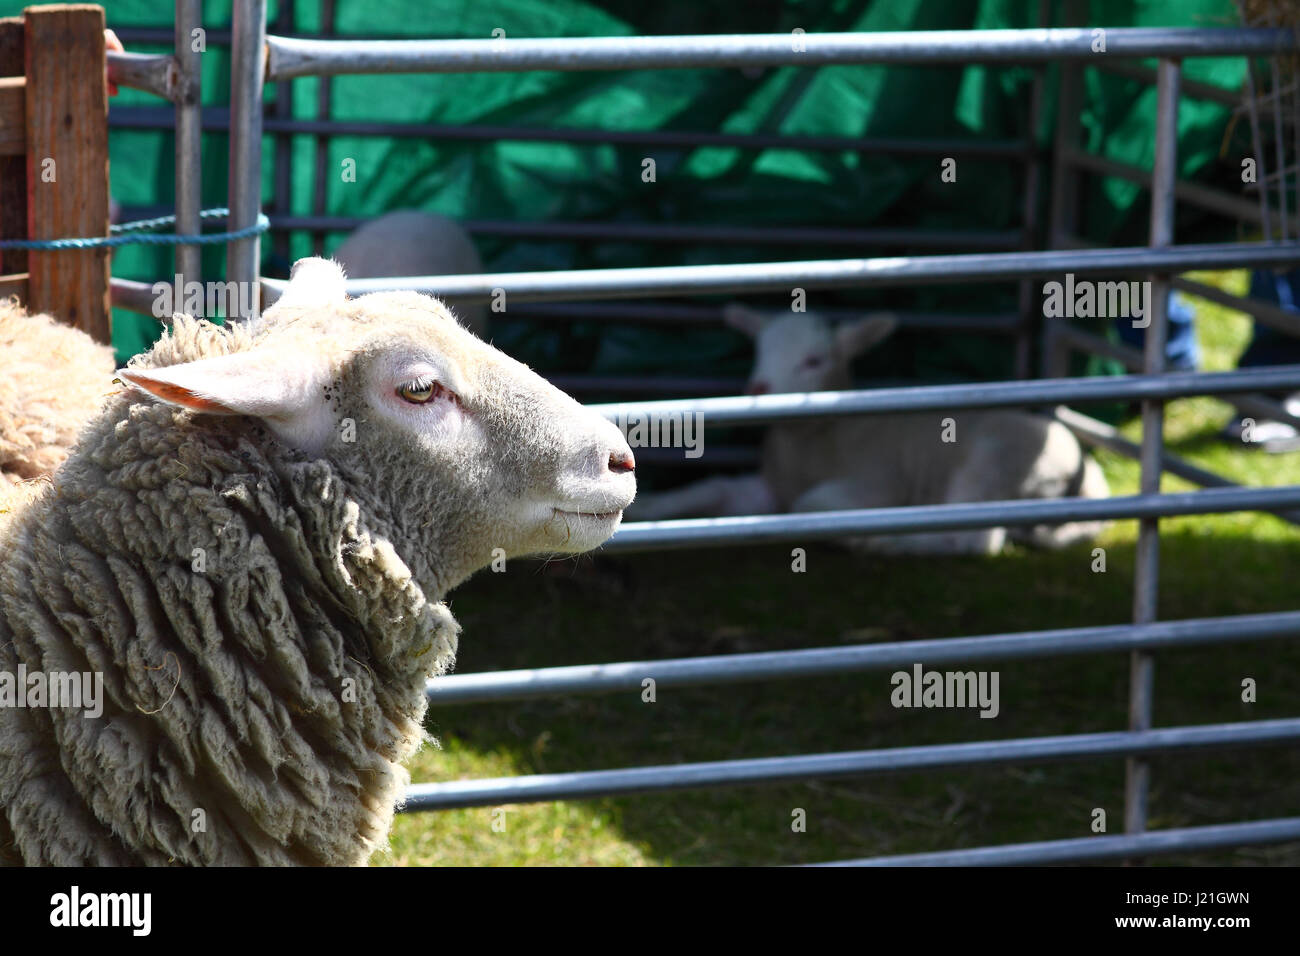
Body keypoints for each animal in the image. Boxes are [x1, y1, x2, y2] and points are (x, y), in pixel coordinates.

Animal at [629, 306, 1107, 554]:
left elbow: (808, 505)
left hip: (994, 465)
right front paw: (643, 509)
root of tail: (1082, 464)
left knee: (974, 538)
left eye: (815, 360)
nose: (758, 387)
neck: (820, 440)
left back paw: (883, 540)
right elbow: (710, 488)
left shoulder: (877, 484)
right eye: (758, 349)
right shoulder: (768, 488)